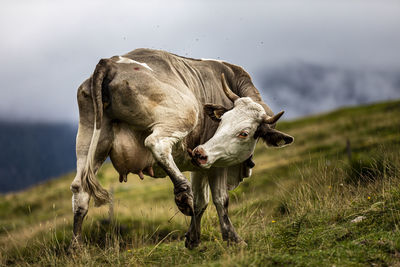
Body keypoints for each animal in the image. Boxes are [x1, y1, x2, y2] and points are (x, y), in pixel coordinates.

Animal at [70, 48, 292, 251]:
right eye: (221, 122)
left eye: (244, 132)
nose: (200, 152)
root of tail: (109, 63)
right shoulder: (216, 163)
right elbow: (220, 199)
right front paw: (233, 239)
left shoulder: (199, 165)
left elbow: (202, 201)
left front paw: (193, 239)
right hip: (184, 114)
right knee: (156, 143)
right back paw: (183, 193)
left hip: (89, 141)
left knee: (80, 189)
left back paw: (76, 249)